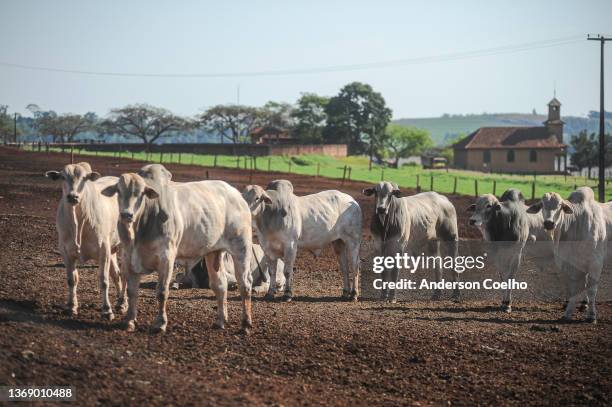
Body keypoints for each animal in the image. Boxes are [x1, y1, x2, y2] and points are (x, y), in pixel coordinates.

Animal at [45, 163, 125, 322]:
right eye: (63, 177)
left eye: (84, 178)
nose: (73, 196)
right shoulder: (66, 251)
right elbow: (72, 279)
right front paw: (71, 306)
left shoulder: (103, 250)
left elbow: (103, 280)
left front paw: (107, 310)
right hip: (112, 248)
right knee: (116, 274)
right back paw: (119, 303)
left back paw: (123, 302)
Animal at [103, 164, 253, 334]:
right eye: (119, 191)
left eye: (140, 193)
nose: (126, 215)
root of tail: (237, 194)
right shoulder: (129, 257)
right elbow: (132, 291)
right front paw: (129, 321)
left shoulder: (166, 258)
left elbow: (162, 292)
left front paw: (160, 323)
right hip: (213, 252)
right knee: (220, 285)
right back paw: (220, 321)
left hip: (242, 247)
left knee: (245, 285)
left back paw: (246, 324)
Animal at [524, 186, 608, 324]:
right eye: (542, 204)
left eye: (559, 205)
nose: (549, 223)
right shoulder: (568, 262)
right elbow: (572, 288)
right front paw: (567, 313)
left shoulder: (596, 262)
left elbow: (591, 290)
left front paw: (591, 316)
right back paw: (583, 304)